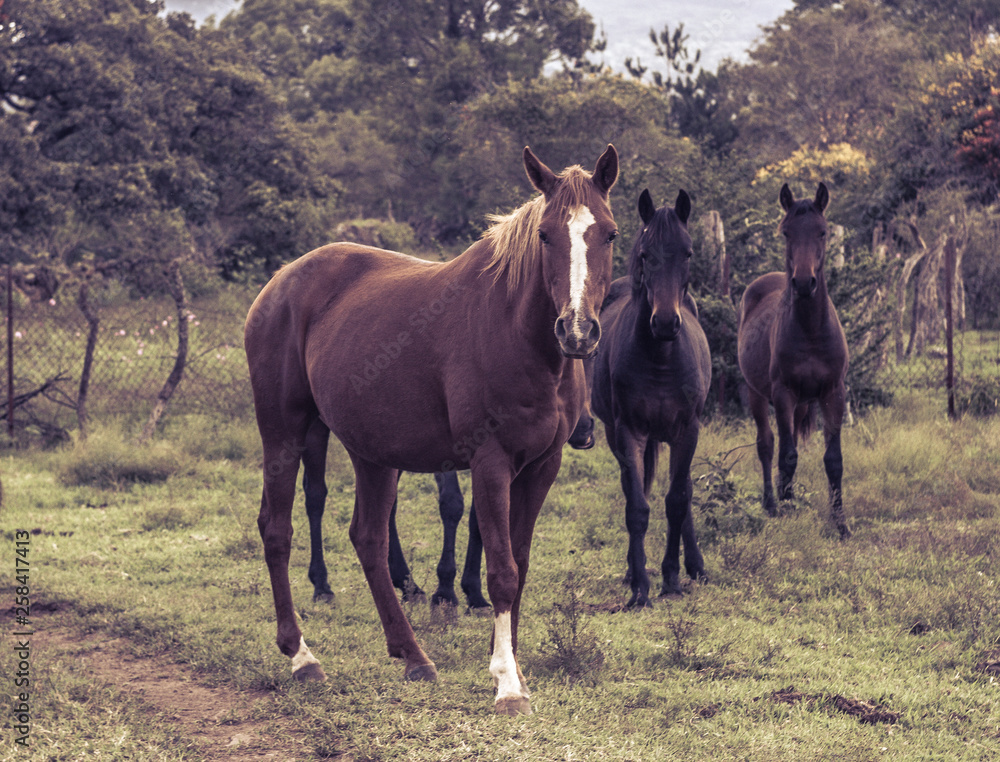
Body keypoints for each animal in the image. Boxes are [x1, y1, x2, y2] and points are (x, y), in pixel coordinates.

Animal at [245, 144, 619, 715]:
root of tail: (280, 282)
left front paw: (510, 663)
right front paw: (507, 684)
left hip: (373, 455)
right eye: (545, 235)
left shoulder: (542, 466)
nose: (577, 330)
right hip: (284, 434)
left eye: (611, 234)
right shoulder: (490, 462)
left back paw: (412, 655)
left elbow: (520, 562)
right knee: (278, 531)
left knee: (369, 539)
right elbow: (502, 571)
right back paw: (302, 656)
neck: (516, 332)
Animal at [588, 189, 711, 609]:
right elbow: (637, 508)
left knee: (683, 492)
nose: (666, 322)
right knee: (634, 487)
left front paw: (672, 577)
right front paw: (640, 586)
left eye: (688, 252)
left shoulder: (687, 431)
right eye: (646, 254)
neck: (660, 358)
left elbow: (677, 501)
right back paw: (632, 572)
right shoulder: (629, 432)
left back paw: (696, 567)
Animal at [737, 182, 851, 539]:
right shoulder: (783, 393)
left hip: (803, 402)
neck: (811, 330)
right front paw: (786, 506)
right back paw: (772, 503)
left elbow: (833, 459)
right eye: (786, 232)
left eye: (822, 232)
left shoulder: (833, 393)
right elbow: (786, 455)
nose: (802, 283)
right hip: (757, 395)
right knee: (767, 444)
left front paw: (841, 523)